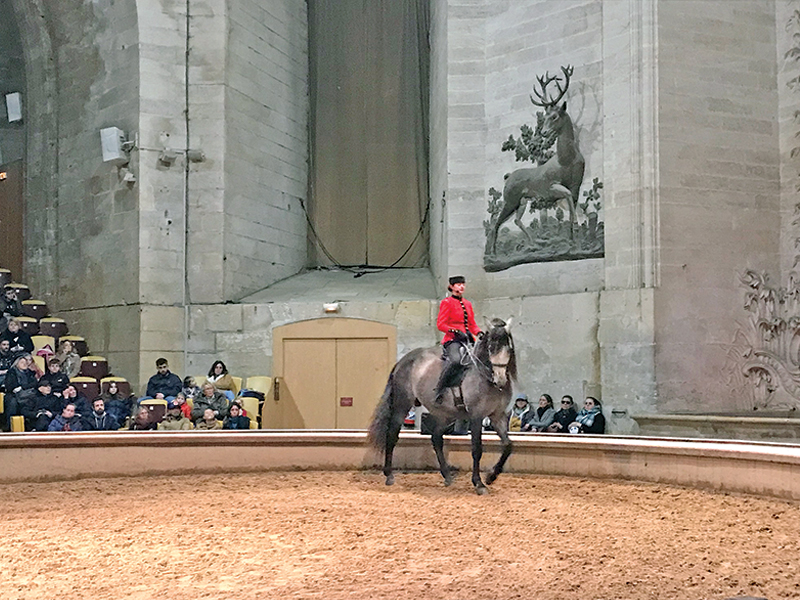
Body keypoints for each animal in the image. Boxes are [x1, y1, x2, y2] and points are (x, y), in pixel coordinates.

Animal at [368, 316, 520, 494]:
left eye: (508, 349)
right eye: (490, 348)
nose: (500, 380)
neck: (485, 377)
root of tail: (403, 361)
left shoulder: (497, 416)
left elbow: (508, 445)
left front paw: (491, 476)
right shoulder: (476, 416)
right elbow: (477, 449)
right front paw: (479, 483)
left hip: (444, 414)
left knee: (436, 438)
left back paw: (447, 476)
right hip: (402, 405)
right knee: (392, 434)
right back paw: (389, 475)